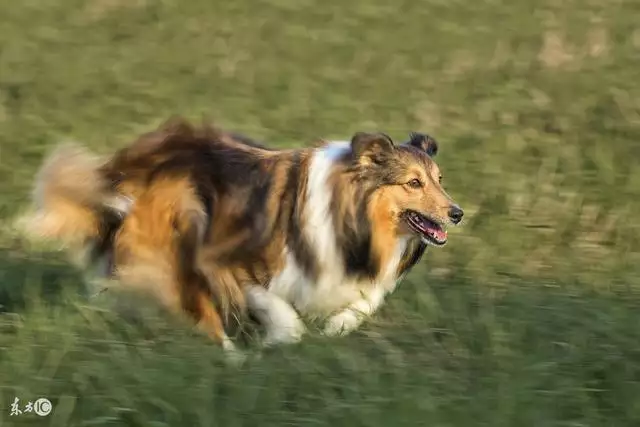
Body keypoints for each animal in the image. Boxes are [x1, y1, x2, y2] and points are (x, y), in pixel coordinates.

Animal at [17, 118, 462, 362]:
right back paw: (232, 362)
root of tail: (121, 168)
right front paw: (276, 345)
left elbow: (362, 304)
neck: (349, 215)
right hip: (184, 230)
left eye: (440, 179)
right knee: (204, 315)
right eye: (414, 183)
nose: (457, 213)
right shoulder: (231, 262)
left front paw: (333, 331)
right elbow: (285, 318)